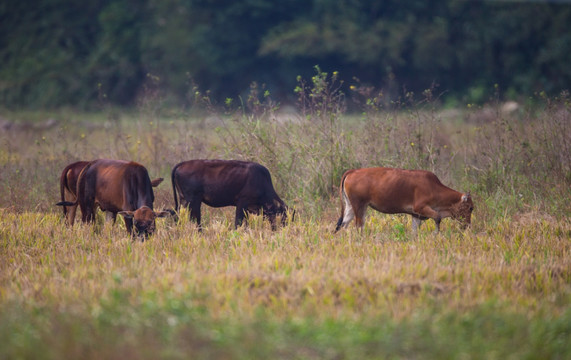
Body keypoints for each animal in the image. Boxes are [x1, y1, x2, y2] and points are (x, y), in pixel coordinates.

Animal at [336, 167, 474, 235]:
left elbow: (415, 231)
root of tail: (353, 171)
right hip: (359, 206)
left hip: (352, 206)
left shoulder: (416, 215)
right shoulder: (421, 208)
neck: (434, 187)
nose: (468, 225)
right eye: (470, 207)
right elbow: (438, 217)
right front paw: (436, 234)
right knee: (358, 225)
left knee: (343, 224)